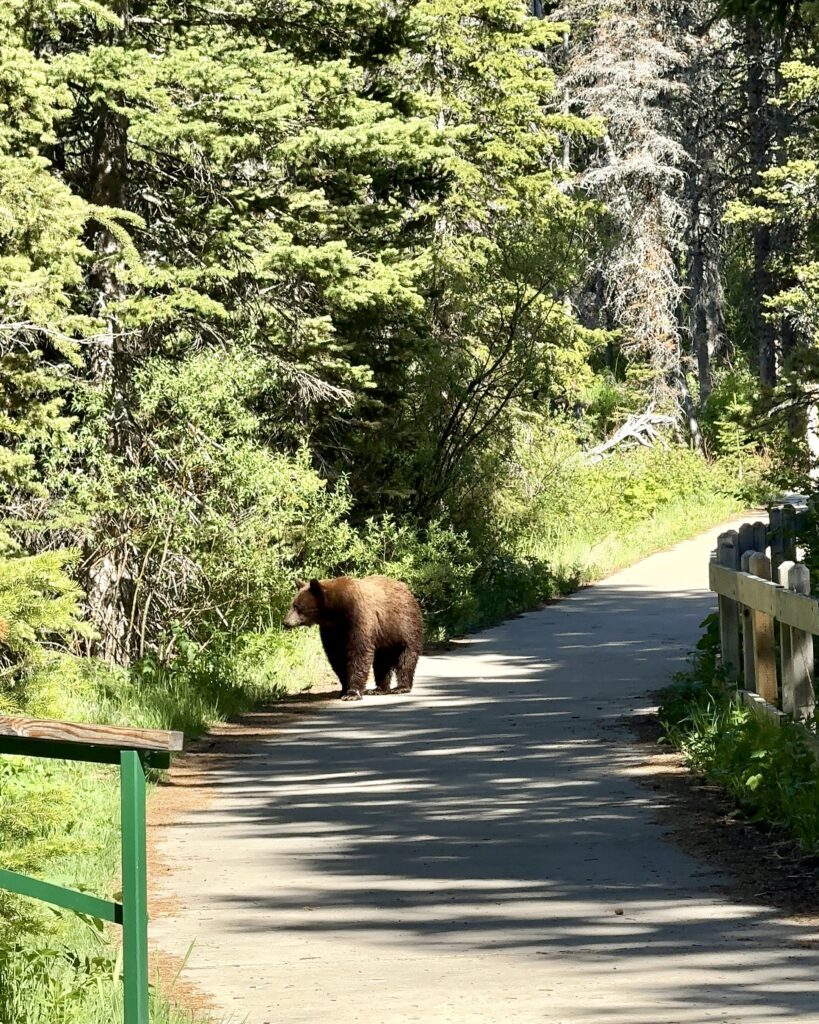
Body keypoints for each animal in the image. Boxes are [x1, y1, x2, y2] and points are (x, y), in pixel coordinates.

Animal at [282, 581, 421, 700]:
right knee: (382, 662)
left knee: (407, 657)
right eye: (292, 604)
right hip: (384, 638)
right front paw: (344, 689)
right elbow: (336, 657)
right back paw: (379, 689)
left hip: (405, 626)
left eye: (297, 606)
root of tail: (406, 589)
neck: (336, 614)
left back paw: (401, 687)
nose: (285, 622)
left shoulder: (358, 619)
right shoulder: (331, 631)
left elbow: (358, 653)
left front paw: (352, 693)